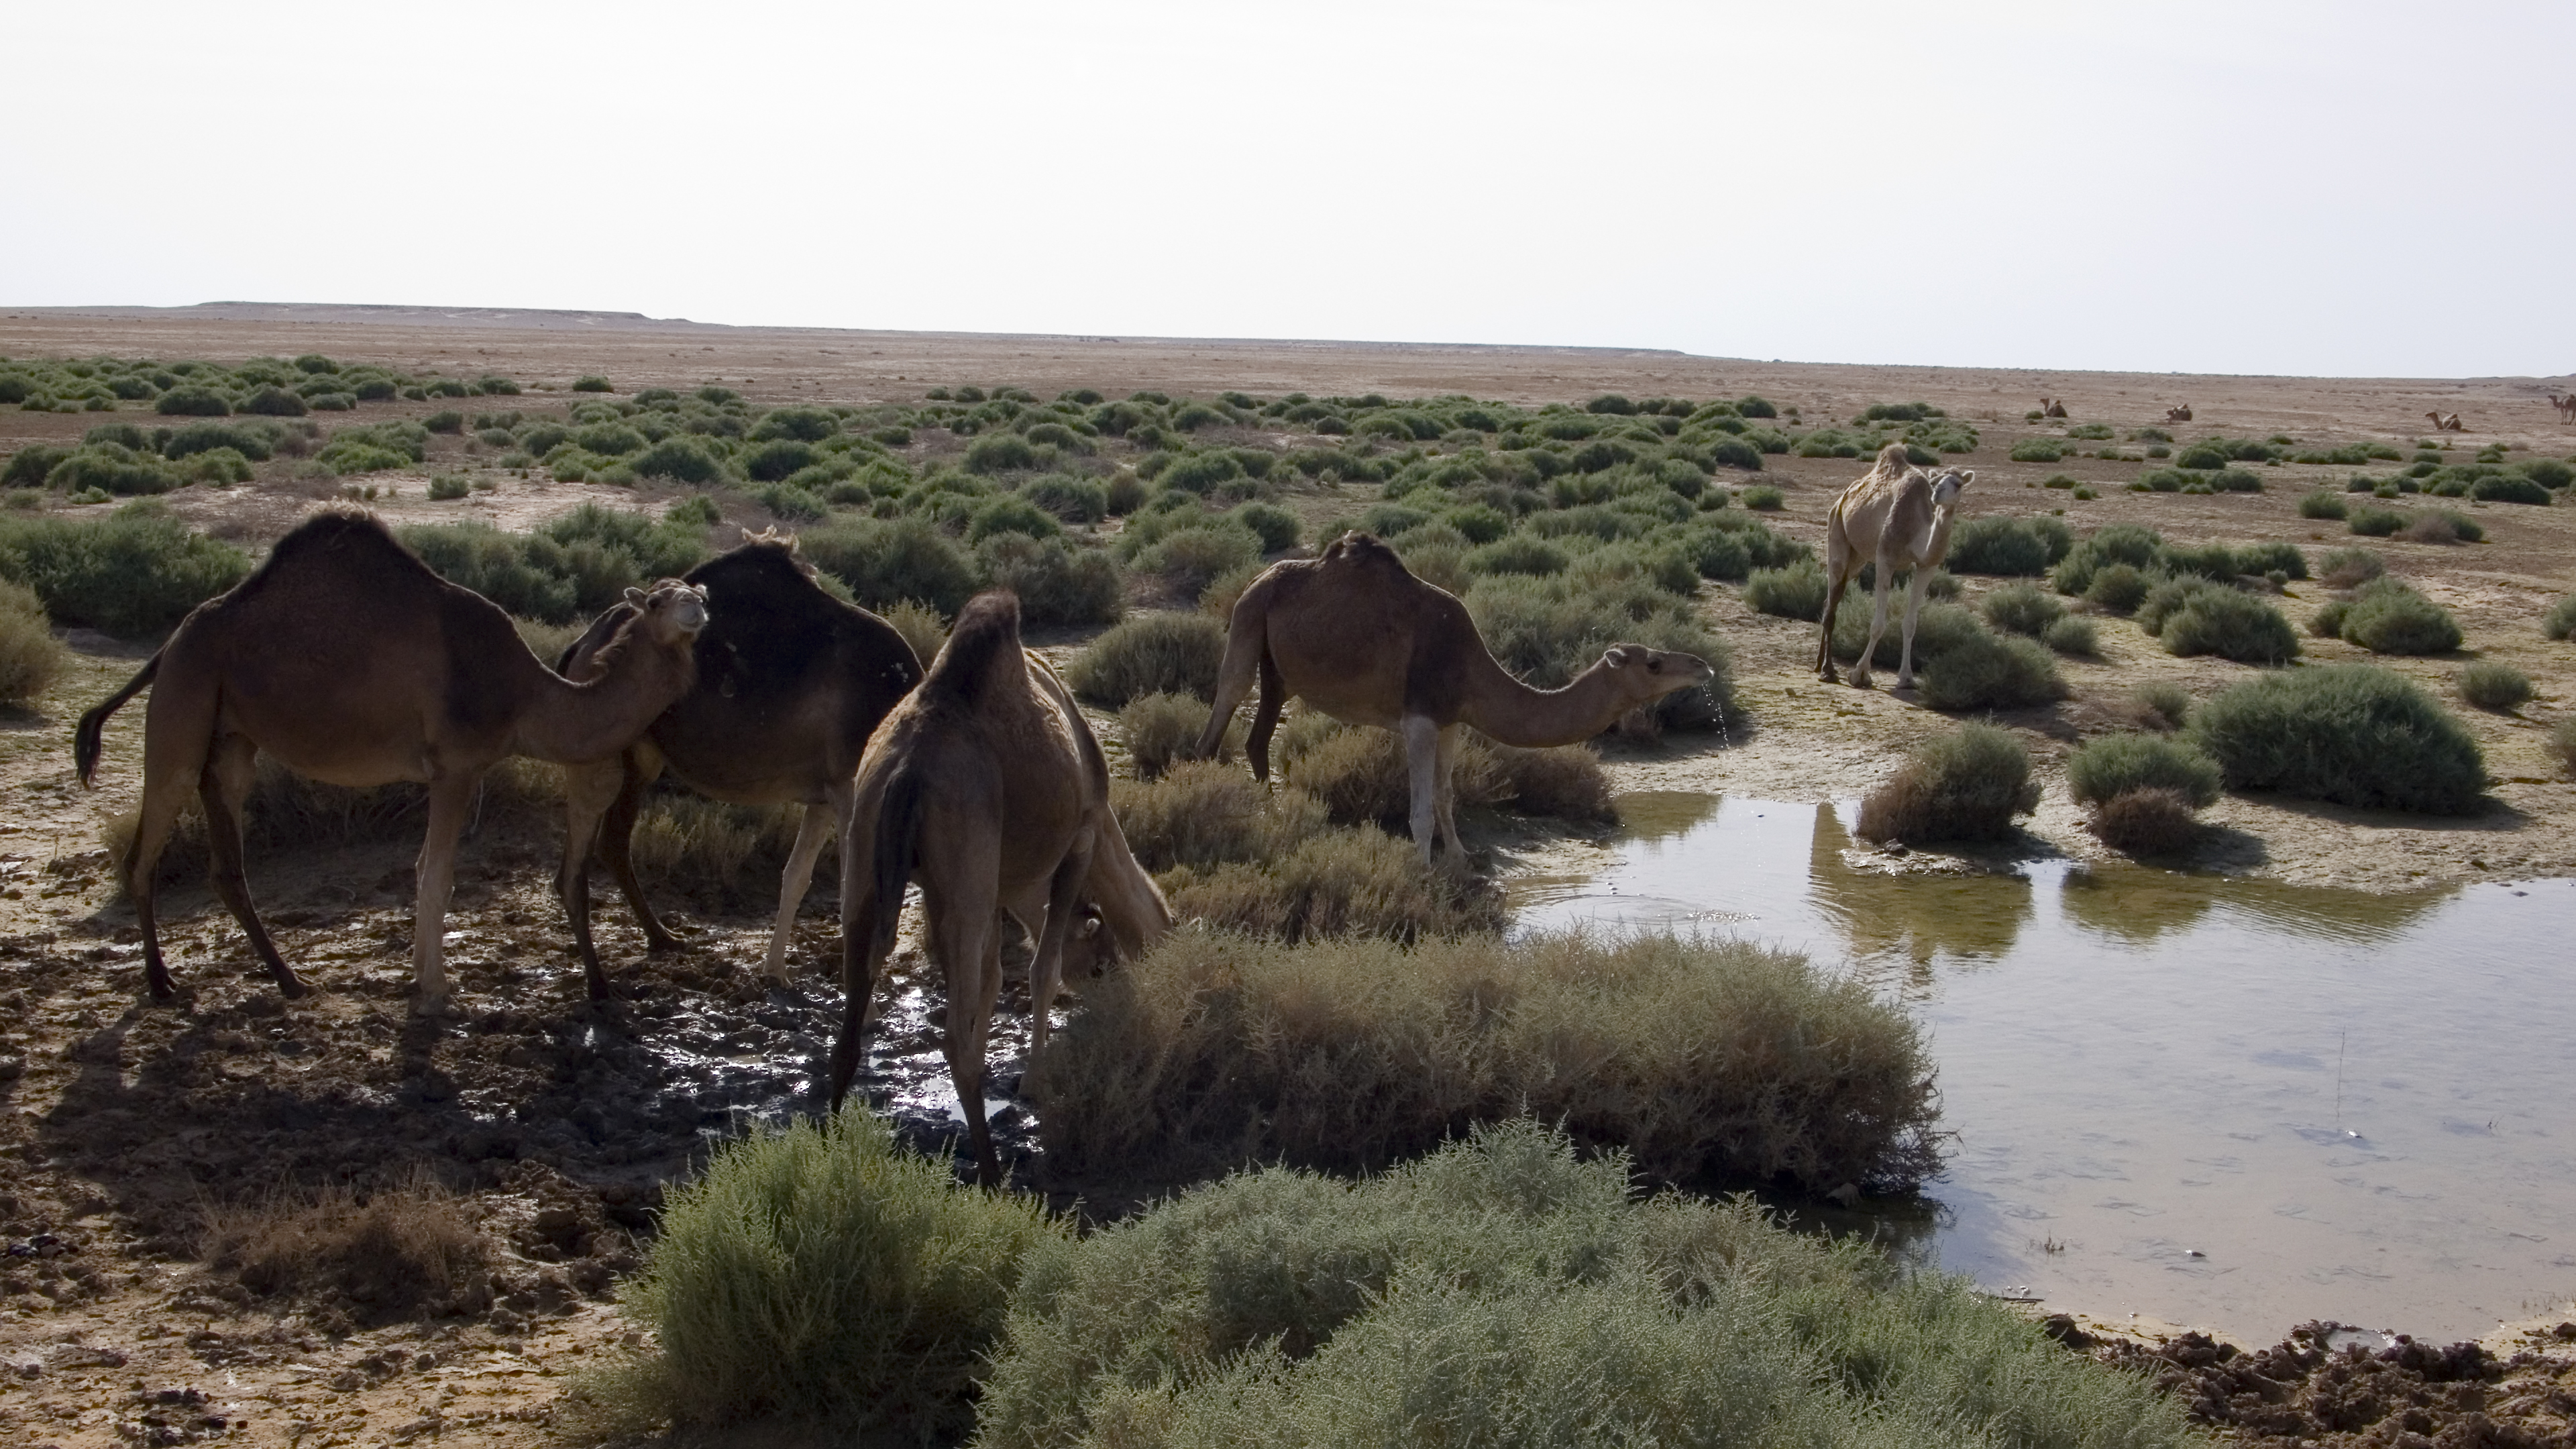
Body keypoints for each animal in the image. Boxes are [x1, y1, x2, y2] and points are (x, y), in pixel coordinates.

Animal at [72, 508, 707, 1010]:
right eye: (657, 600)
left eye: (696, 594)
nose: (697, 610)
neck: (524, 694)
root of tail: (168, 645)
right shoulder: (456, 765)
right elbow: (436, 873)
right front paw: (435, 986)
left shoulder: (455, 770)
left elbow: (427, 868)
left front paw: (419, 977)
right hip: (184, 701)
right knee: (145, 847)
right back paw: (161, 985)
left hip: (230, 737)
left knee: (226, 858)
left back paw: (289, 981)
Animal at [552, 530, 922, 1000]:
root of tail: (580, 646)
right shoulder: (848, 788)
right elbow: (849, 893)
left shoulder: (825, 795)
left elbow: (796, 877)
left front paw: (775, 973)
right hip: (598, 755)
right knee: (576, 866)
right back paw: (600, 986)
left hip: (640, 757)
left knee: (614, 843)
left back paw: (664, 939)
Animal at [826, 591, 1170, 1185]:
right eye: (1101, 965)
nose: (1118, 1006)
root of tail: (907, 771)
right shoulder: (1080, 837)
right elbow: (1042, 969)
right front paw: (1033, 1081)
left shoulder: (995, 883)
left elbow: (990, 981)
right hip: (964, 862)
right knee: (952, 1039)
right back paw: (993, 1173)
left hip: (868, 852)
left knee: (850, 1026)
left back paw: (819, 1146)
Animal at [1187, 532, 1716, 866]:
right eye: (1653, 663)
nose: (1702, 666)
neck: (1469, 666)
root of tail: (1258, 576)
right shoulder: (1420, 719)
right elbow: (1420, 810)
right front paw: (1421, 874)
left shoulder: (1452, 721)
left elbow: (1446, 794)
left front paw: (1462, 858)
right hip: (1248, 618)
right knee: (1222, 710)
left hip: (1279, 669)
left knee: (1259, 738)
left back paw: (1274, 815)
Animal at [1814, 443, 1974, 692]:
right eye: (1935, 481)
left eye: (1957, 484)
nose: (1937, 494)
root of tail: (1843, 497)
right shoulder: (1885, 558)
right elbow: (1878, 624)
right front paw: (1860, 674)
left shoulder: (1927, 566)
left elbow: (1911, 624)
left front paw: (1907, 679)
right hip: (1837, 531)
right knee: (1833, 602)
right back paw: (1828, 672)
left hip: (1858, 557)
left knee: (1829, 599)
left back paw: (1819, 664)